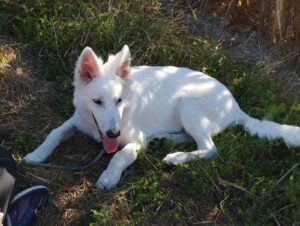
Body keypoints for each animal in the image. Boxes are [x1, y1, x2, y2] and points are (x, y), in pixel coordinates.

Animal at [24, 45, 300, 189]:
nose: (114, 133)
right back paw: (166, 140)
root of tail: (235, 107)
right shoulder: (78, 120)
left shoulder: (136, 140)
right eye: (97, 102)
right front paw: (37, 154)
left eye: (119, 101)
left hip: (187, 103)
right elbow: (55, 133)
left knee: (210, 148)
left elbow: (121, 155)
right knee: (191, 138)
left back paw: (176, 157)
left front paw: (110, 176)